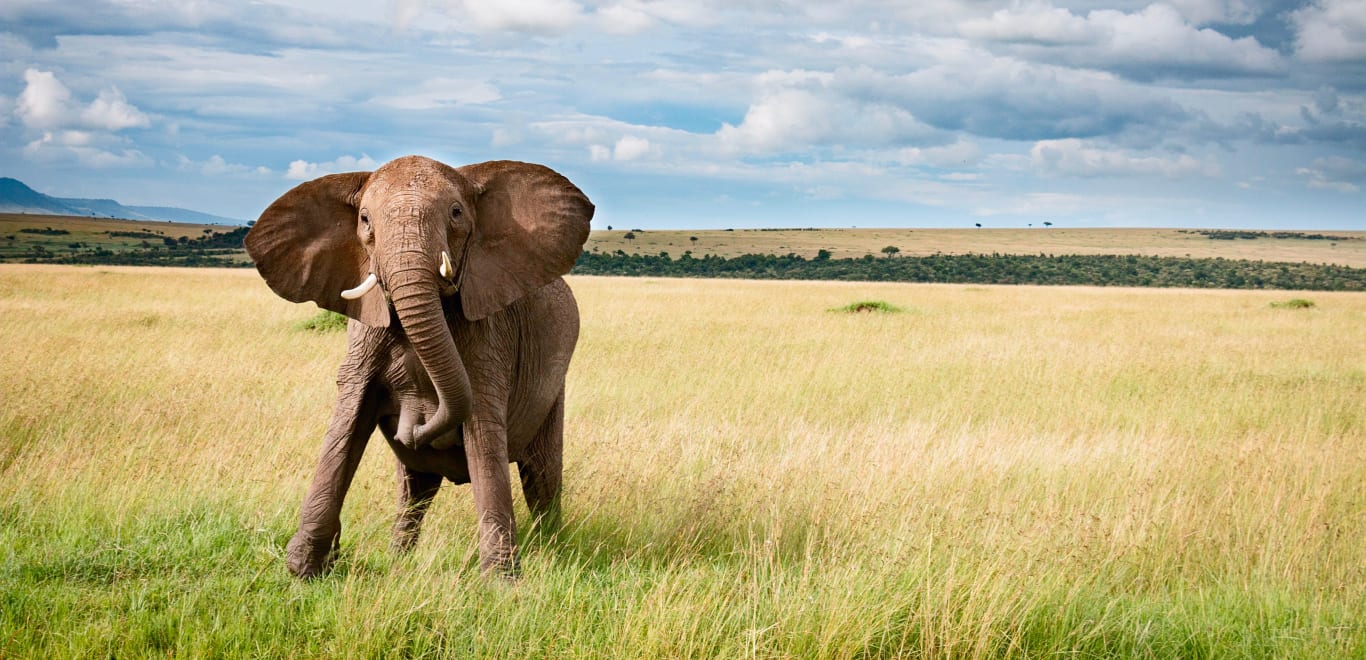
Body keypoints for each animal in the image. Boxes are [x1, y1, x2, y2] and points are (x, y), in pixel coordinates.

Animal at [244, 156, 592, 579]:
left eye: (456, 213)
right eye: (364, 219)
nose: (413, 426)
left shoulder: (489, 336)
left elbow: (483, 433)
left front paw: (501, 584)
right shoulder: (364, 331)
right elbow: (347, 422)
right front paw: (304, 570)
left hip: (554, 386)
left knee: (542, 477)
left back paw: (553, 551)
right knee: (415, 488)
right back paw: (398, 558)